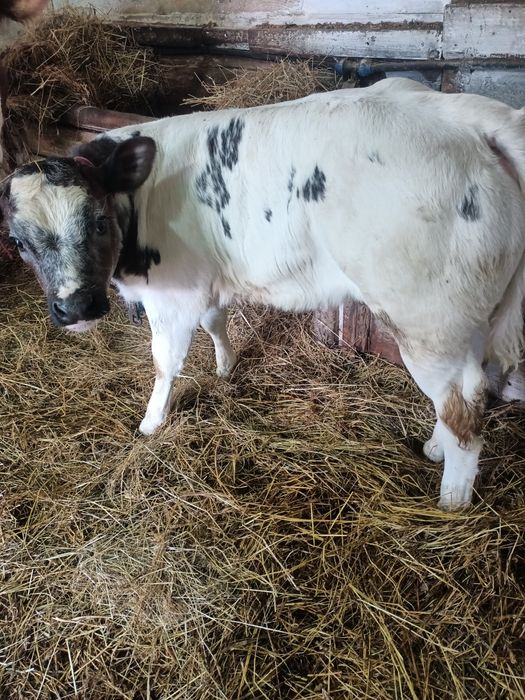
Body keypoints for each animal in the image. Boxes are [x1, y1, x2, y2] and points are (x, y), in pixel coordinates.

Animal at [1, 77, 525, 511]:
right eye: (18, 242)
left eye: (98, 220)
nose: (75, 307)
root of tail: (454, 112)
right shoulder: (206, 279)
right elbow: (216, 322)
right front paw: (225, 367)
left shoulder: (174, 293)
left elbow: (165, 362)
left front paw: (151, 423)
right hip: (463, 318)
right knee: (468, 386)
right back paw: (436, 448)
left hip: (425, 317)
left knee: (462, 407)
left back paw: (452, 499)